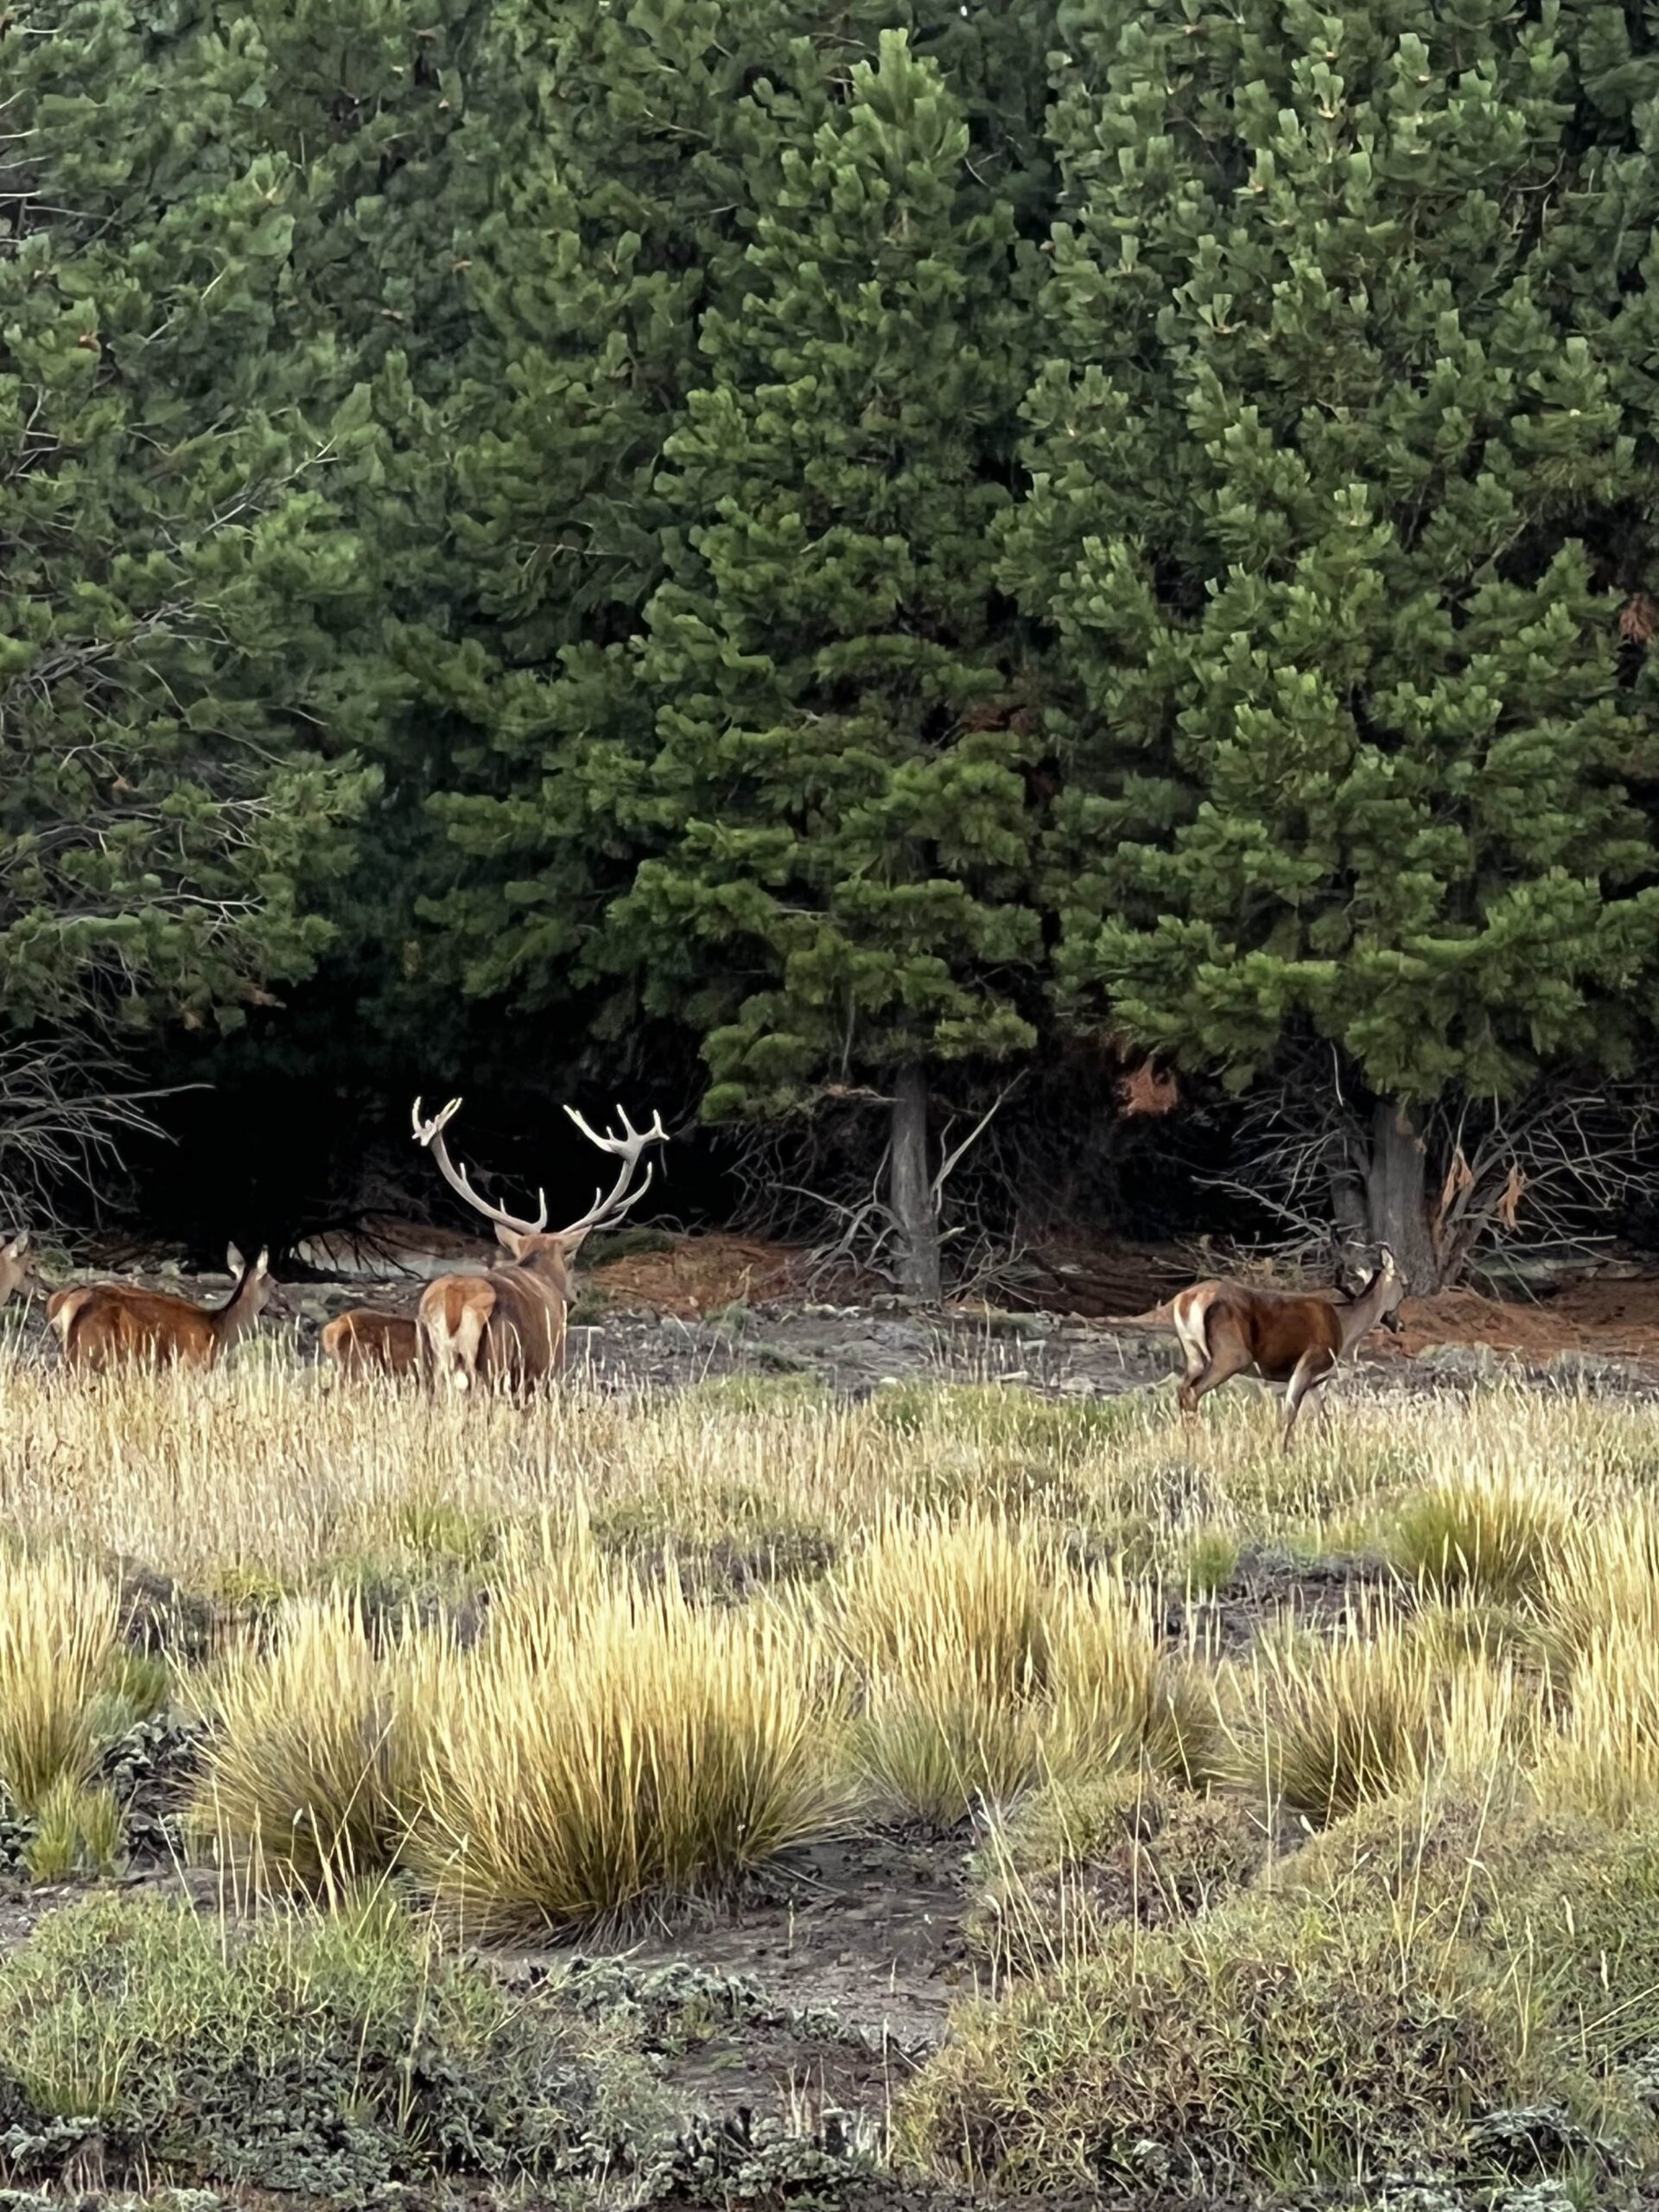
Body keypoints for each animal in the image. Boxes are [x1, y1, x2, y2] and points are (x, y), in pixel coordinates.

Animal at [411, 1096, 668, 1389]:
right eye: (571, 1259)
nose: (575, 1296)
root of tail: (454, 1300)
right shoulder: (548, 1366)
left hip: (426, 1361)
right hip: (495, 1364)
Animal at [1167, 1247, 1407, 1451]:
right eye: (1404, 1283)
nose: (1400, 1324)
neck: (1345, 1327)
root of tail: (1184, 1302)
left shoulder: (1317, 1381)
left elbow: (1323, 1417)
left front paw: (1331, 1448)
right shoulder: (1309, 1362)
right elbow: (1290, 1412)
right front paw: (1282, 1452)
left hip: (1193, 1354)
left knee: (1182, 1389)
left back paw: (1186, 1444)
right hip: (1232, 1354)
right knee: (1192, 1392)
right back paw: (1195, 1446)